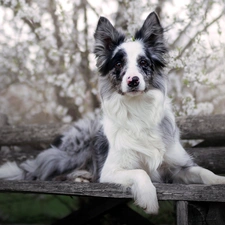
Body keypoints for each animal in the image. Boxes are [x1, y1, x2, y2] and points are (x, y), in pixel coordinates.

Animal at [0, 11, 225, 214]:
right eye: (118, 63)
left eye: (144, 63)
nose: (133, 81)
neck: (138, 108)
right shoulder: (110, 171)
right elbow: (140, 173)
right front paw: (149, 199)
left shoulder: (178, 167)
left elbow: (203, 171)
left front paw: (219, 180)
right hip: (75, 149)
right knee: (47, 172)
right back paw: (80, 177)